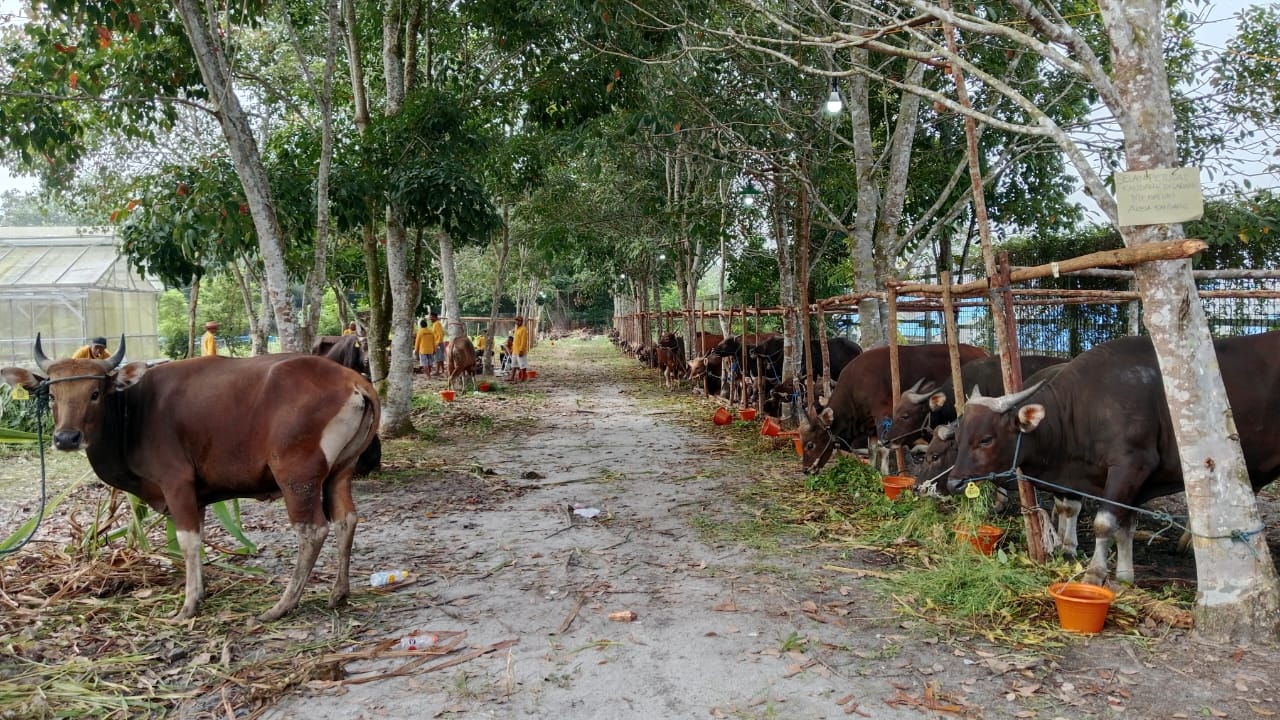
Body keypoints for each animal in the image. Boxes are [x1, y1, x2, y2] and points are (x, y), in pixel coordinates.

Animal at [3, 333, 378, 620]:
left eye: (94, 394)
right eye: (53, 395)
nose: (66, 438)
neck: (131, 411)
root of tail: (353, 380)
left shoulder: (176, 484)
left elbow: (187, 541)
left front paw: (187, 604)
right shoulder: (197, 496)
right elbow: (198, 539)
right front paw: (200, 591)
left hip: (296, 477)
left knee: (312, 530)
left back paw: (283, 605)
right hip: (340, 472)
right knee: (346, 519)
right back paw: (339, 592)